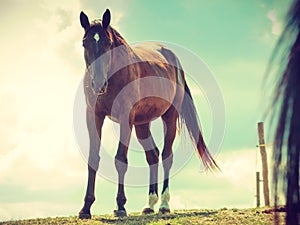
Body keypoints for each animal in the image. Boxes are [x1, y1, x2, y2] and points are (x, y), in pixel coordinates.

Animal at [77, 9, 218, 219]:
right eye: (85, 43)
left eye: (107, 44)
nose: (98, 84)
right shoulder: (93, 116)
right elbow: (93, 158)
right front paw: (86, 208)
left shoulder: (125, 119)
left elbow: (121, 159)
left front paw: (120, 206)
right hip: (142, 125)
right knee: (153, 156)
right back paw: (150, 204)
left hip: (169, 117)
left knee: (166, 156)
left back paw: (164, 205)